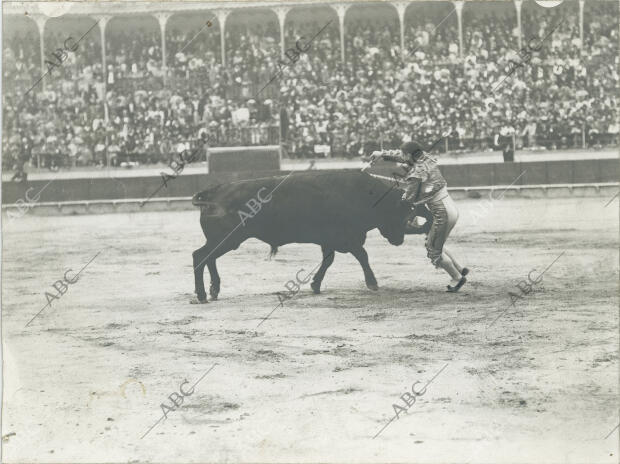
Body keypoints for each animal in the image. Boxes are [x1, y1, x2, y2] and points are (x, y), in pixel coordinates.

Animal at [191, 169, 434, 302]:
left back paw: (213, 290)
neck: (366, 196)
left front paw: (315, 285)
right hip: (226, 240)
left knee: (209, 258)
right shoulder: (348, 239)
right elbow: (362, 256)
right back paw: (202, 295)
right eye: (400, 212)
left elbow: (328, 261)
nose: (398, 240)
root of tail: (214, 191)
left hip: (223, 241)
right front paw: (372, 283)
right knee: (199, 256)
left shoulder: (330, 241)